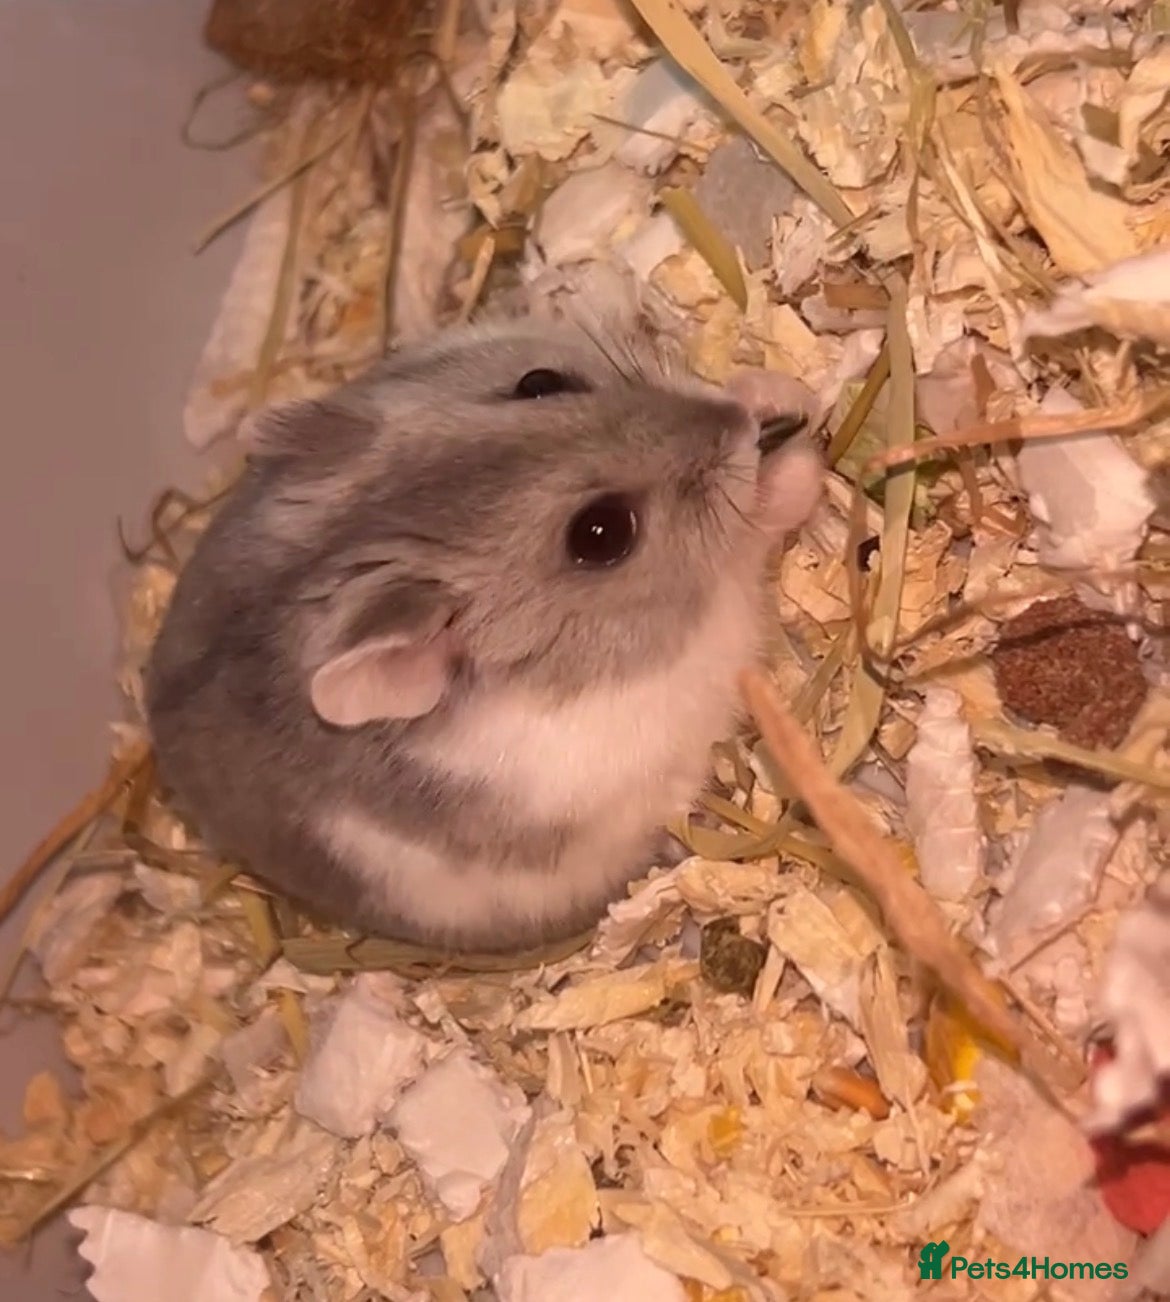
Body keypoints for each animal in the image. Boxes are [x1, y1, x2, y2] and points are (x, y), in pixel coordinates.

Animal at [145, 315, 823, 952]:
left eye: (540, 382)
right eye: (601, 533)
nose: (738, 425)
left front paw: (778, 391)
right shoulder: (715, 628)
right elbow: (757, 527)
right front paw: (801, 457)